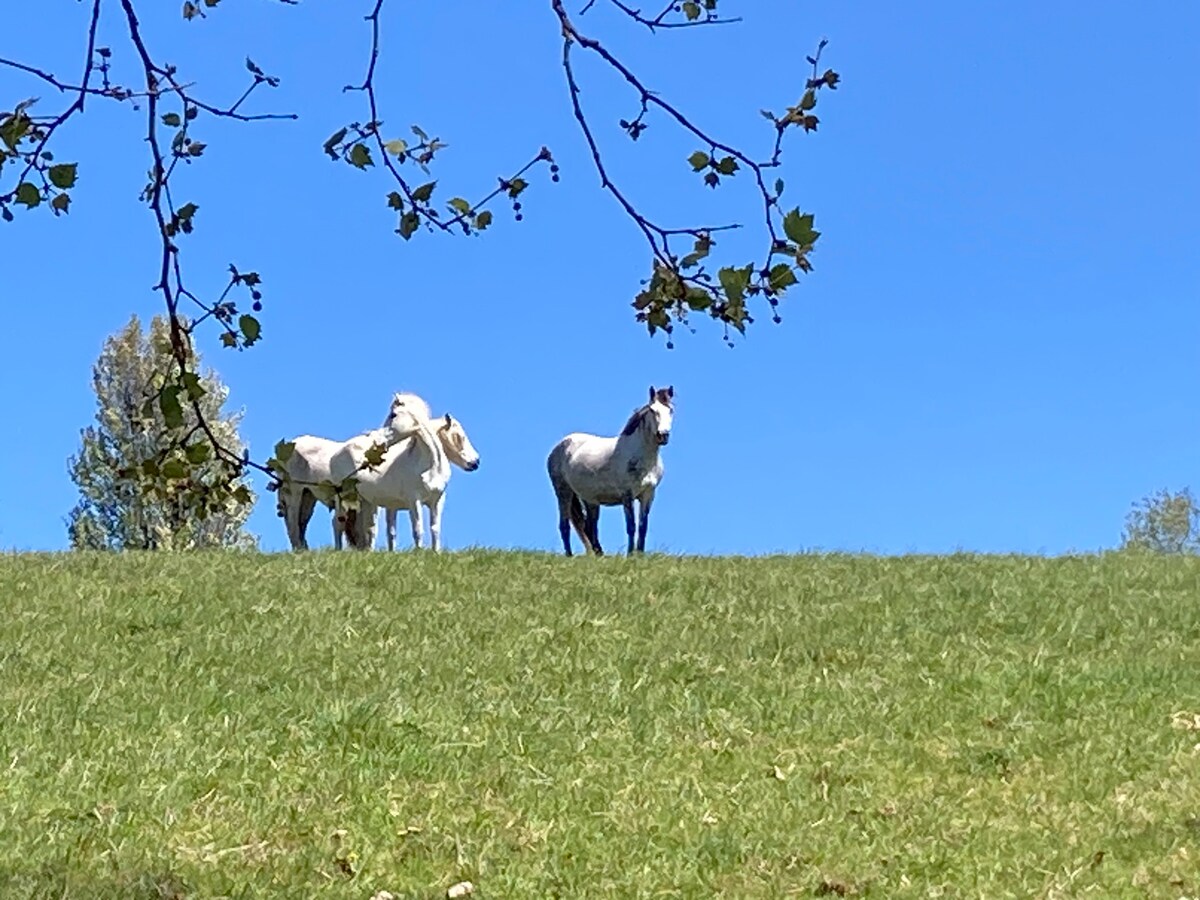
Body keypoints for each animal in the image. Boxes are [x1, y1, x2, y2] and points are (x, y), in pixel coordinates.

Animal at [278, 393, 429, 549]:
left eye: (393, 414)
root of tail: (292, 443)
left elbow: (371, 529)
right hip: (295, 491)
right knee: (294, 524)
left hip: (308, 495)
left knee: (301, 523)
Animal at [331, 398, 480, 554]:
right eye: (459, 436)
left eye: (393, 415)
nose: (475, 462)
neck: (430, 467)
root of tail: (338, 453)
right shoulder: (414, 501)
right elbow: (418, 530)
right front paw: (419, 553)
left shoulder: (437, 501)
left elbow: (434, 529)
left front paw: (436, 553)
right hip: (341, 497)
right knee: (338, 523)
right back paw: (337, 550)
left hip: (366, 501)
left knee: (368, 529)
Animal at [547, 386, 672, 556]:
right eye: (653, 410)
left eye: (671, 410)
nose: (663, 435)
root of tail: (558, 447)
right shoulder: (627, 495)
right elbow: (631, 526)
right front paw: (630, 555)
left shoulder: (648, 495)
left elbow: (642, 527)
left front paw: (640, 555)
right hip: (563, 492)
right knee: (565, 526)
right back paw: (570, 555)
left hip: (589, 499)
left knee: (590, 526)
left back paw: (599, 554)